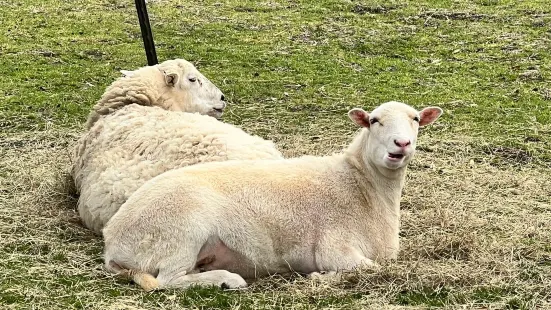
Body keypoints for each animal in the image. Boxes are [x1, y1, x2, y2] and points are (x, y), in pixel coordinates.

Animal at [100, 101, 444, 290]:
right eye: (374, 121)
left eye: (415, 119)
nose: (401, 144)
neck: (361, 186)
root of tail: (112, 242)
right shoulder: (336, 248)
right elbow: (369, 269)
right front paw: (319, 278)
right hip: (181, 228)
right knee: (168, 280)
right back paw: (228, 280)